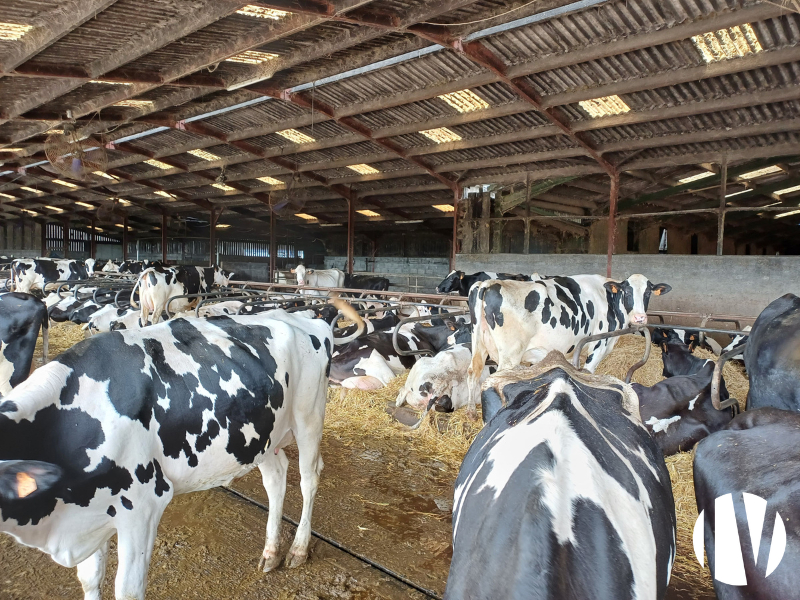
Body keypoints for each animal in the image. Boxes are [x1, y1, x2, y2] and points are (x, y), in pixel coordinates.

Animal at [0, 302, 366, 600]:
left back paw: (298, 550)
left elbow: (128, 590)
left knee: (308, 477)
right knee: (277, 480)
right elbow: (90, 579)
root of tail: (305, 317)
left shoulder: (142, 506)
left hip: (309, 417)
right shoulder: (90, 513)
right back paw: (270, 552)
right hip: (264, 434)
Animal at [466, 274, 672, 414]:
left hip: (479, 343)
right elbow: (588, 374)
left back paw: (471, 413)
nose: (640, 318)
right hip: (510, 355)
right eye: (627, 291)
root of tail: (488, 283)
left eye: (648, 292)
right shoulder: (598, 346)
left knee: (473, 371)